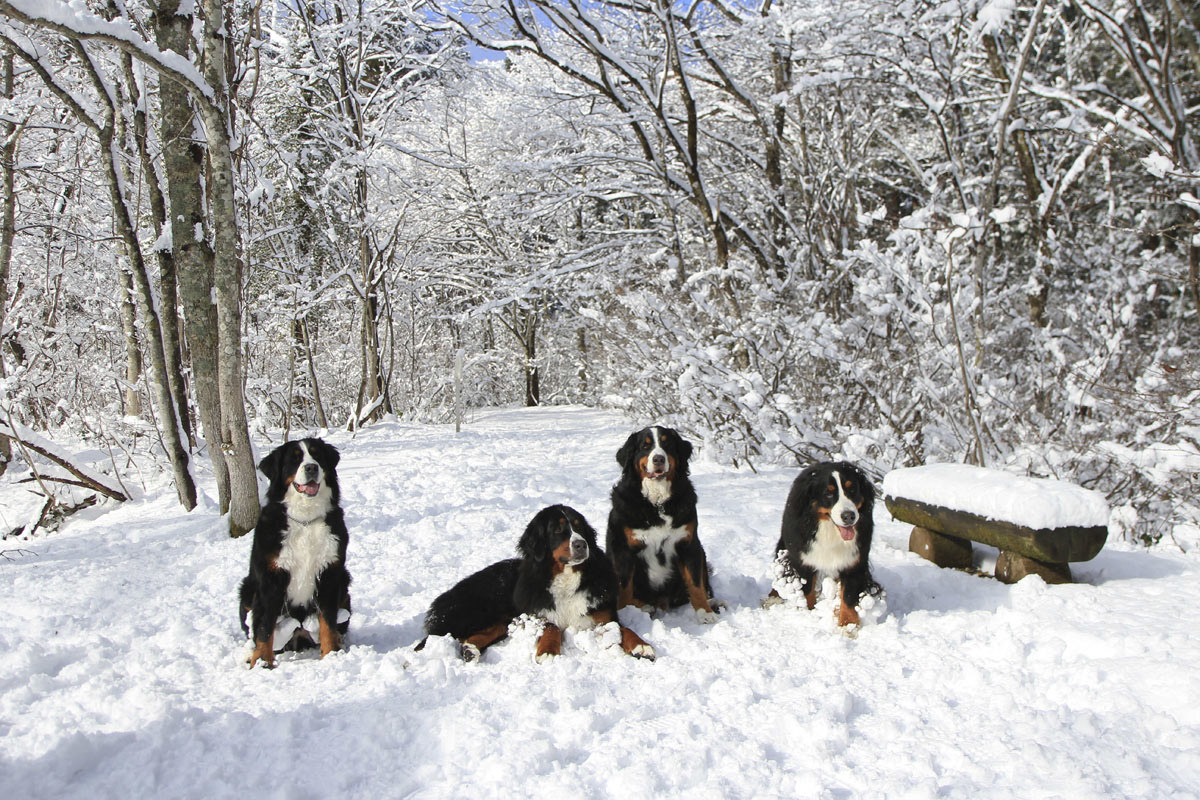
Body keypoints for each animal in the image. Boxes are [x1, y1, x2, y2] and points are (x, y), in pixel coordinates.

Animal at [237, 438, 350, 671]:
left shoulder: (328, 574)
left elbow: (328, 621)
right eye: (294, 459)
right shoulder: (270, 579)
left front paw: (331, 655)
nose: (311, 467)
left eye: (317, 455)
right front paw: (262, 663)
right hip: (246, 589)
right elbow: (264, 628)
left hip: (344, 581)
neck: (305, 520)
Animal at [415, 506, 657, 662]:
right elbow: (551, 626)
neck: (566, 578)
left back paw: (470, 651)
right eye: (558, 530)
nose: (582, 544)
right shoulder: (535, 613)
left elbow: (624, 629)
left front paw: (641, 646)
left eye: (580, 527)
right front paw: (548, 651)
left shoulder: (602, 615)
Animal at [604, 429, 715, 623]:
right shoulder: (623, 549)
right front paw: (625, 612)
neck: (657, 504)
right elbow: (624, 587)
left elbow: (695, 583)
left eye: (667, 444)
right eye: (645, 446)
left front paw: (705, 612)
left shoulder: (689, 545)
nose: (658, 459)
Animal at [768, 462, 883, 623]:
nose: (849, 516)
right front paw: (807, 614)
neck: (830, 531)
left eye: (852, 489)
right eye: (828, 493)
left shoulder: (854, 562)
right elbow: (806, 592)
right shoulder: (803, 560)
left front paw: (848, 624)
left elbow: (848, 596)